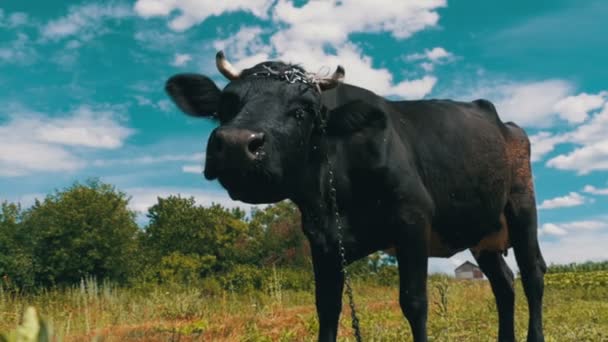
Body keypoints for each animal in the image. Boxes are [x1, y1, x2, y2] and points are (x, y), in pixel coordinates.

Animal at [165, 51, 548, 342]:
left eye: (303, 111)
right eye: (225, 106)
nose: (235, 143)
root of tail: (502, 122)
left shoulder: (413, 218)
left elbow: (414, 301)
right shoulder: (321, 238)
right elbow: (327, 306)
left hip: (521, 206)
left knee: (532, 275)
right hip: (482, 231)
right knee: (504, 283)